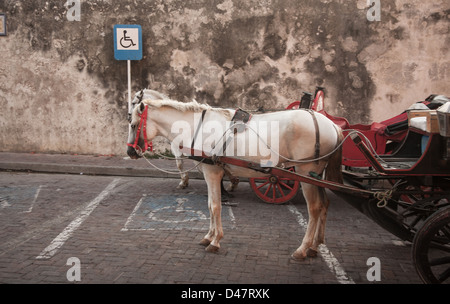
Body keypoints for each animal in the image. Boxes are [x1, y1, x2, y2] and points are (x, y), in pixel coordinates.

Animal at [127, 91, 344, 260]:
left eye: (134, 124)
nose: (130, 152)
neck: (197, 126)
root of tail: (332, 125)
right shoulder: (210, 173)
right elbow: (210, 205)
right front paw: (209, 236)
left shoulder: (212, 172)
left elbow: (215, 206)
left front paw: (215, 241)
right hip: (315, 175)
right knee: (324, 205)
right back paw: (315, 246)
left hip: (305, 172)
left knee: (314, 209)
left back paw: (302, 249)